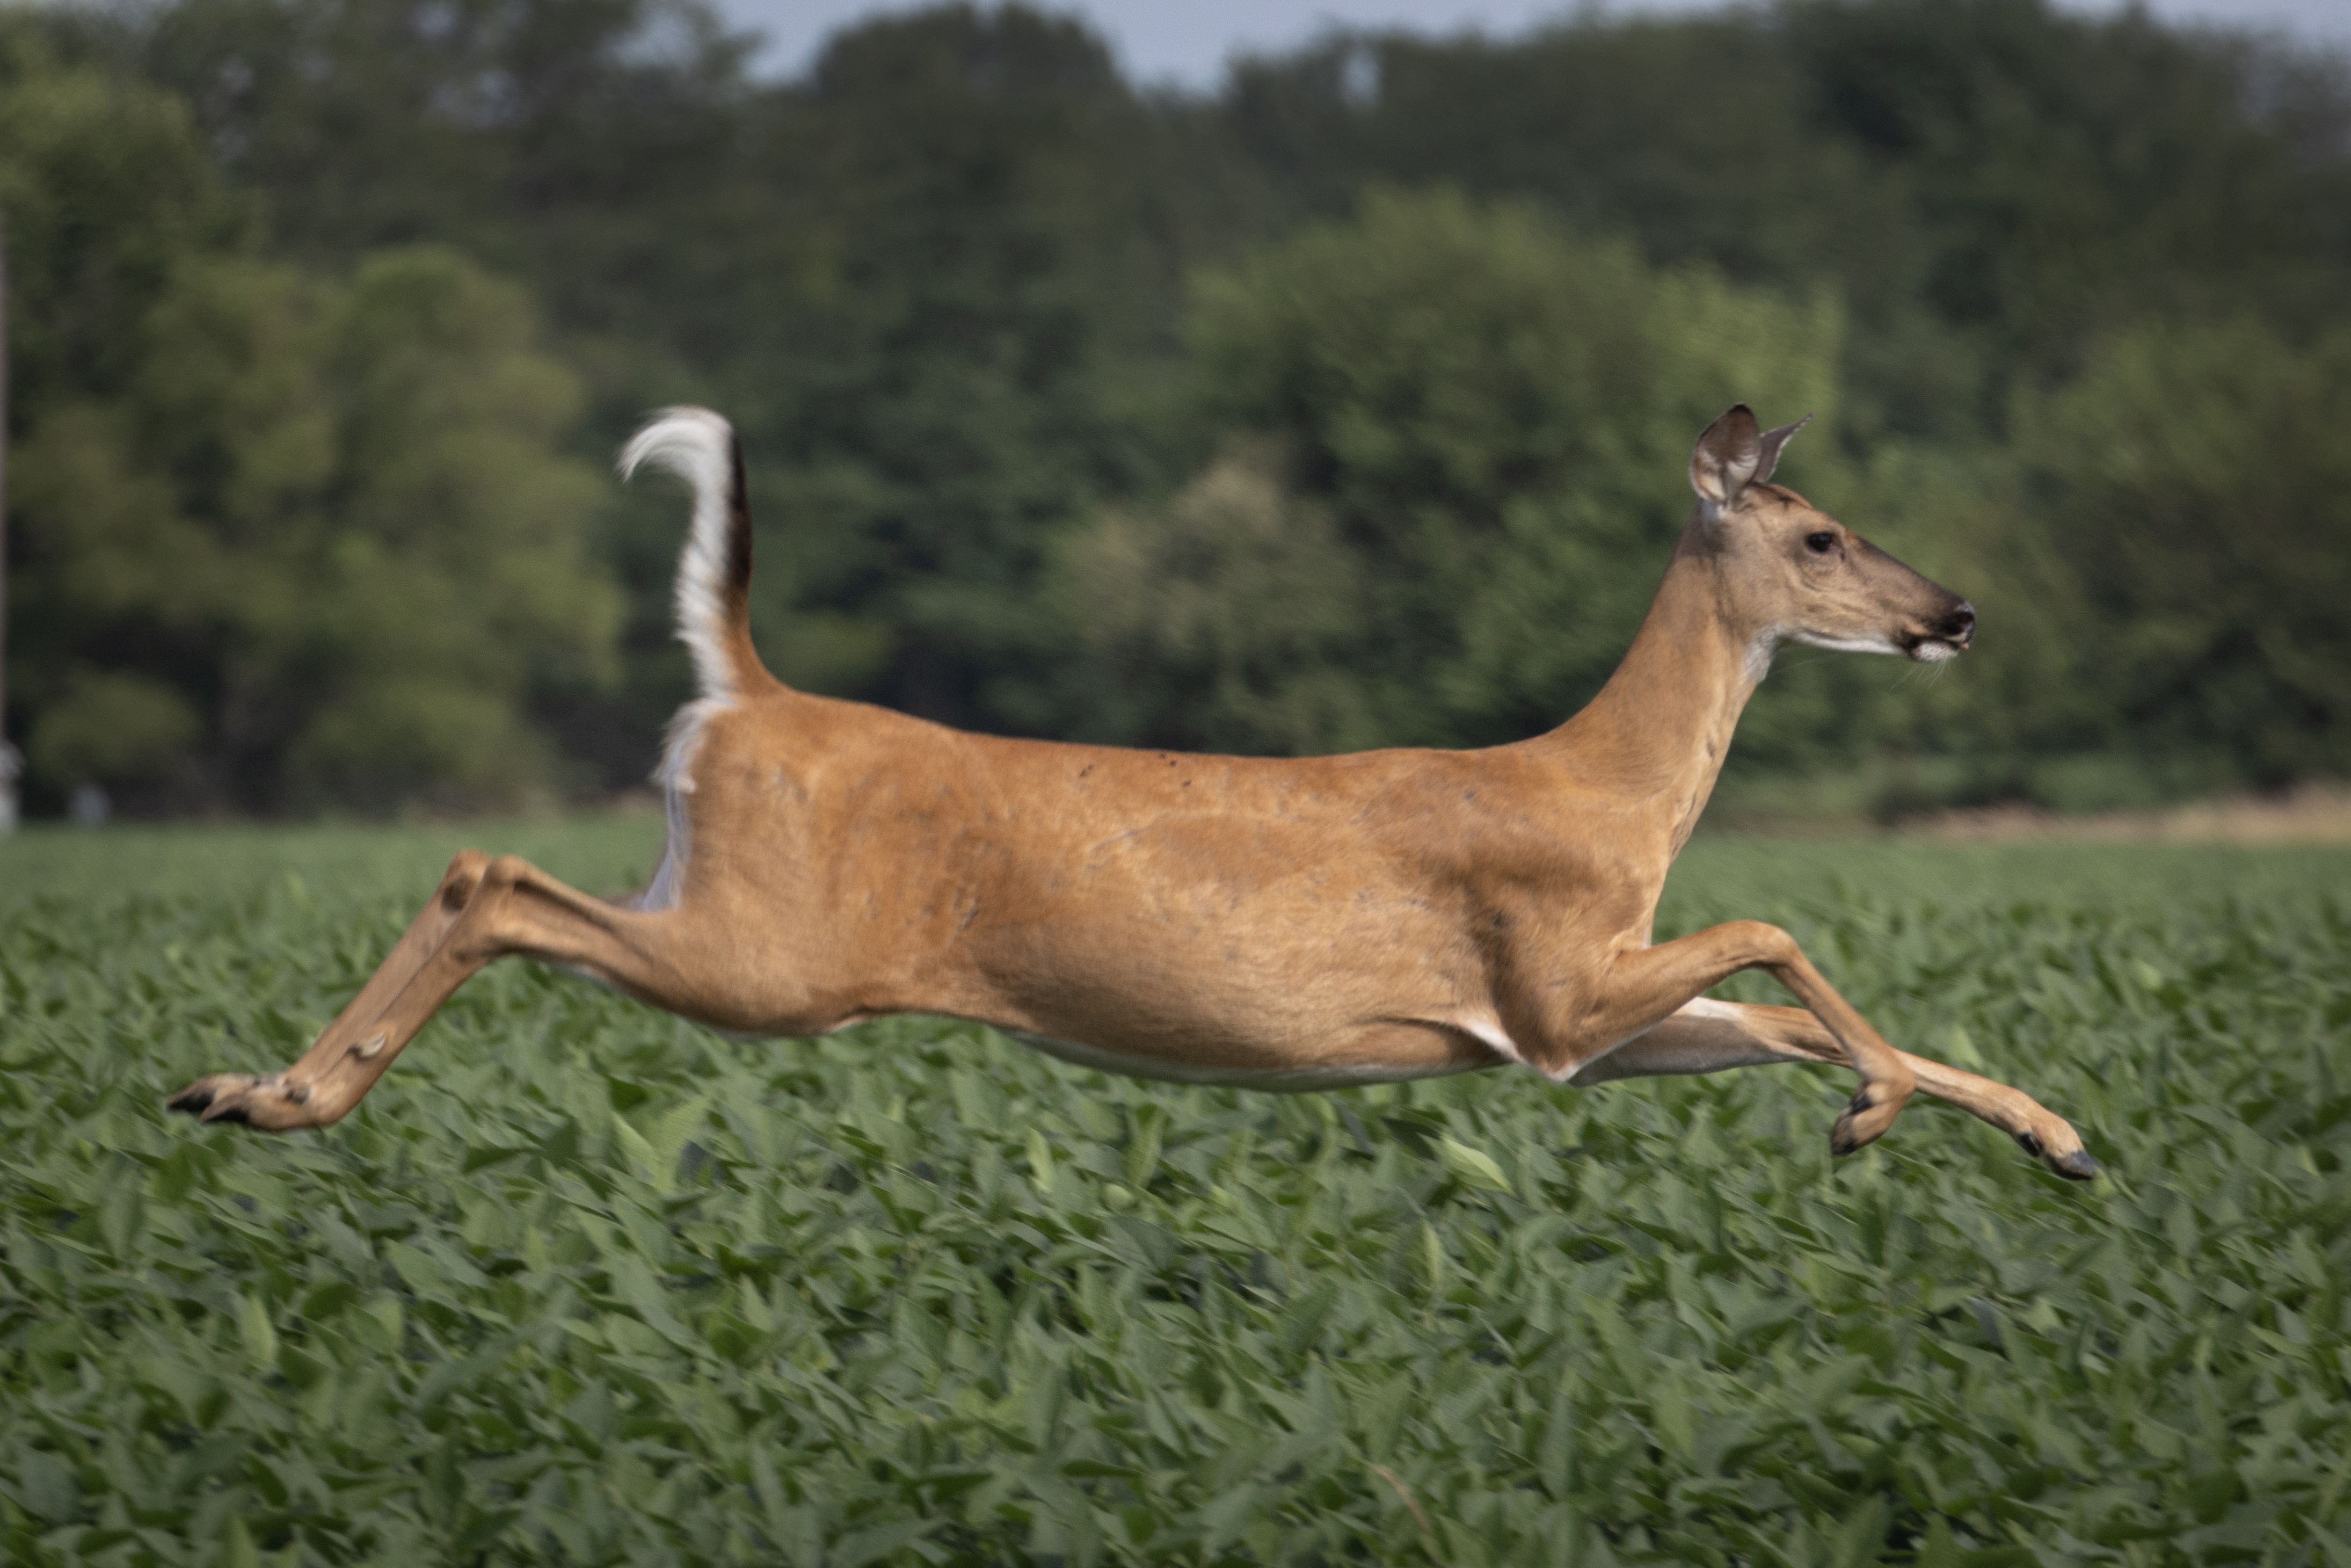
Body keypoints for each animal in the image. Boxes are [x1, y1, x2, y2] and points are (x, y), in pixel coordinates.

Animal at [169, 403, 2098, 1181]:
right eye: (1818, 534)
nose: (1952, 613)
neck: (1603, 788)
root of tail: (747, 692)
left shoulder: (1561, 1029)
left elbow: (1771, 1013)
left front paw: (2046, 1135)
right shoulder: (1552, 981)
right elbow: (1776, 929)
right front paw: (1884, 1114)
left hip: (708, 900)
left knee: (491, 878)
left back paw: (242, 1085)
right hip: (770, 956)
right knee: (487, 872)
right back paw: (280, 1096)